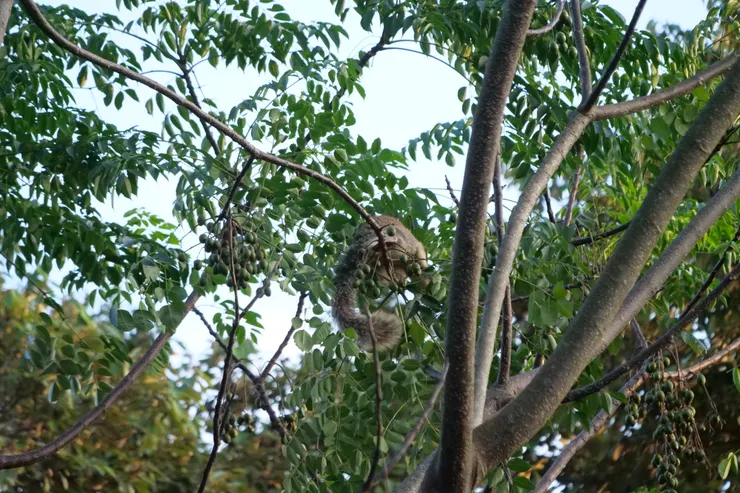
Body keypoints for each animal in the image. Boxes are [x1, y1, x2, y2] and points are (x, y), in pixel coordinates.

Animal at [331, 216, 428, 352]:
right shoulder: (414, 248)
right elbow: (420, 253)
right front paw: (423, 270)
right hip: (392, 236)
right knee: (393, 240)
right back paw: (384, 243)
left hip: (377, 263)